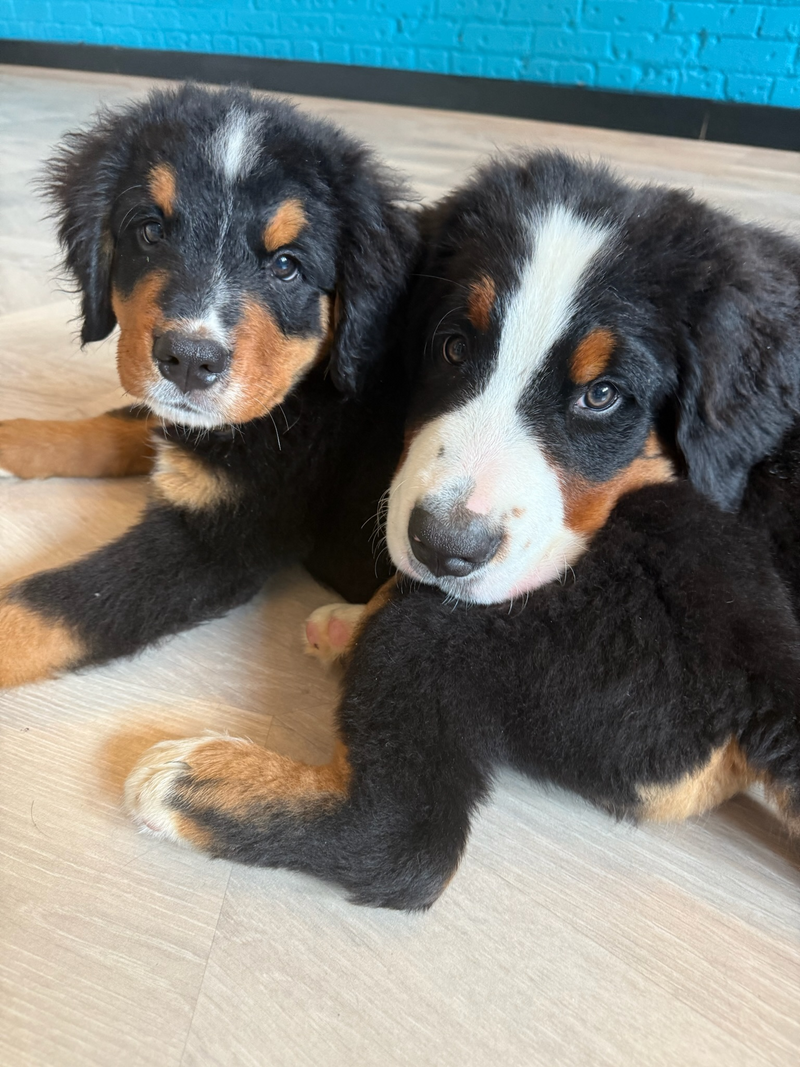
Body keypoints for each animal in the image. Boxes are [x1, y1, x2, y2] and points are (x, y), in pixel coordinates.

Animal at [0, 83, 419, 688]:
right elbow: (109, 429)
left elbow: (41, 611)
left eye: (287, 265)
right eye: (151, 231)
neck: (304, 394)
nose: (189, 362)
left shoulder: (215, 542)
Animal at [125, 152, 800, 910]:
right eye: (450, 348)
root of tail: (765, 681)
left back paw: (191, 781)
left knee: (408, 842)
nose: (443, 547)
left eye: (602, 395)